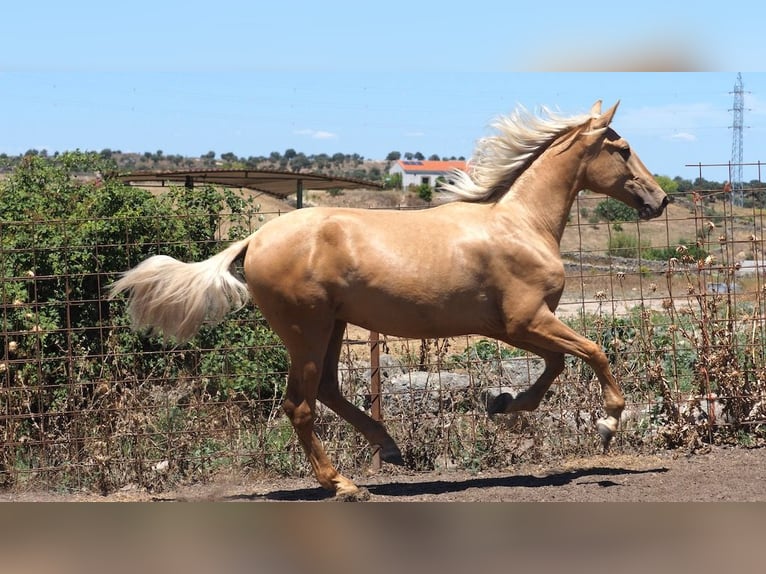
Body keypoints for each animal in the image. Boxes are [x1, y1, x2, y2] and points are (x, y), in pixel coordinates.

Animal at [111, 102, 668, 500]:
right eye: (622, 148)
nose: (660, 199)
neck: (521, 224)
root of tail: (255, 239)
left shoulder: (518, 325)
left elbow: (558, 363)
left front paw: (505, 405)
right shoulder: (525, 319)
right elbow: (593, 352)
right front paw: (607, 424)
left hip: (332, 327)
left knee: (328, 390)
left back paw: (389, 446)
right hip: (306, 330)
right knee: (300, 405)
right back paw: (345, 485)